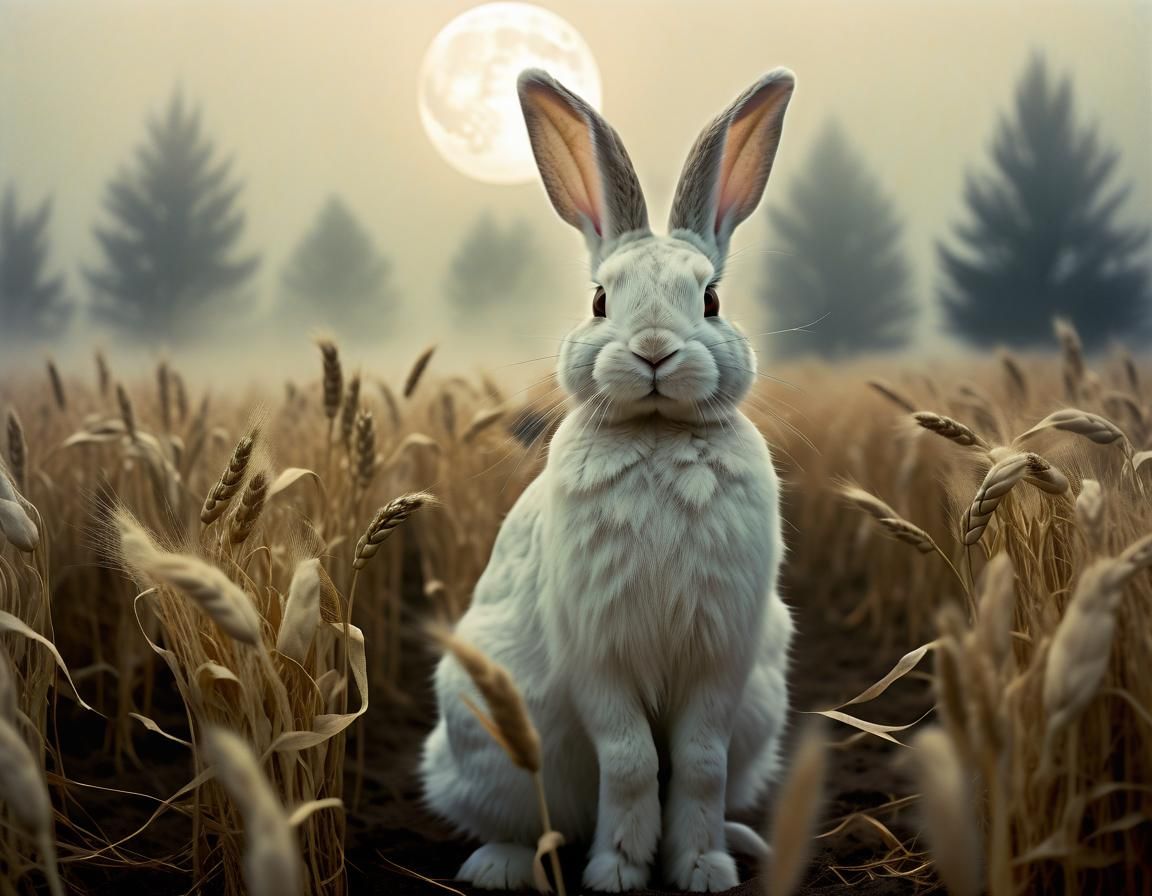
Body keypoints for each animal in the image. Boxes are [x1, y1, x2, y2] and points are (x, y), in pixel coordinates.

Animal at [421, 66, 797, 893]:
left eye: (711, 299)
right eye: (598, 300)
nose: (653, 350)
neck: (655, 431)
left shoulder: (722, 658)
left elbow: (698, 762)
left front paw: (701, 869)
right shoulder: (597, 651)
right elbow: (628, 761)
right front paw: (620, 871)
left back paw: (743, 843)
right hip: (485, 732)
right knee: (528, 821)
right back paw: (497, 866)